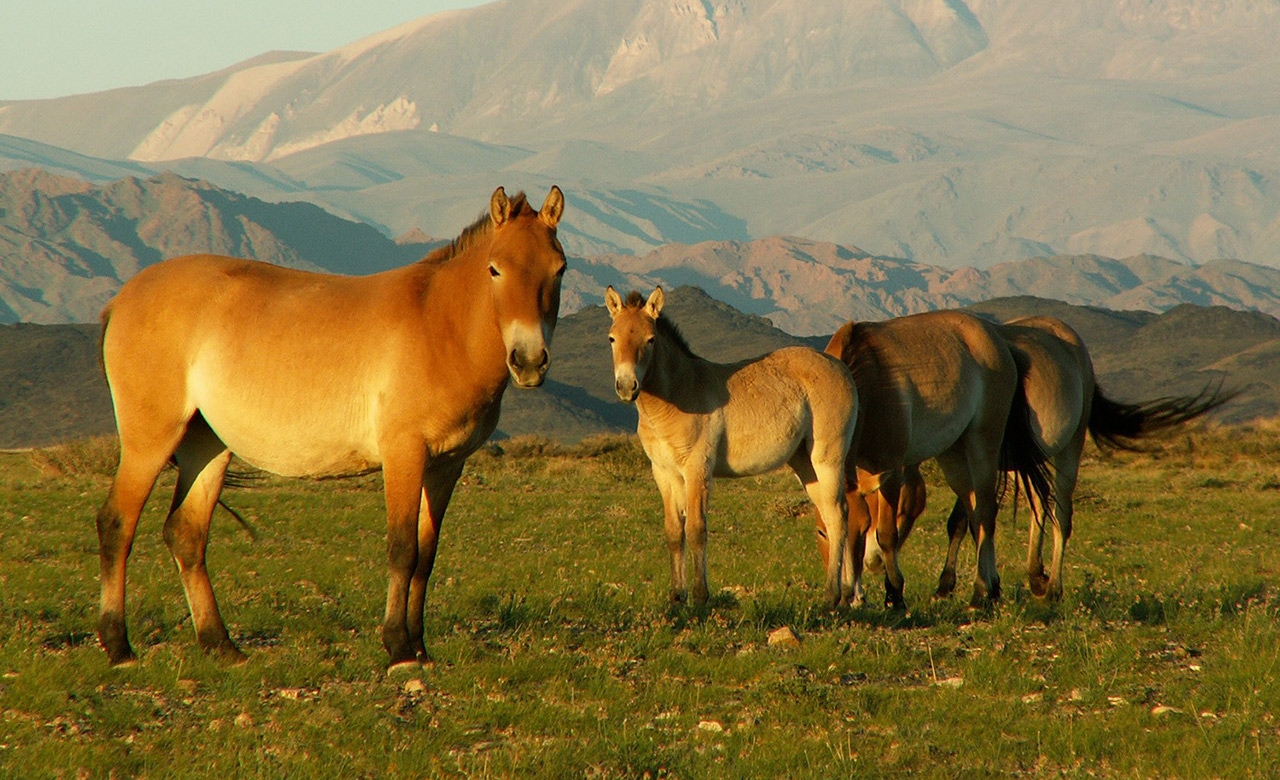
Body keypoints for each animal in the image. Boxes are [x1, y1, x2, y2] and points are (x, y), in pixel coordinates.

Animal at [94, 185, 565, 666]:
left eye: (559, 269)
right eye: (495, 268)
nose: (529, 361)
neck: (441, 325)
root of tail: (121, 300)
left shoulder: (446, 466)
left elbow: (426, 556)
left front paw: (420, 646)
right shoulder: (404, 455)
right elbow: (403, 549)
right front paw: (398, 647)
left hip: (207, 445)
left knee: (186, 534)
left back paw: (220, 644)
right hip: (150, 441)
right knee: (117, 524)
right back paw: (118, 644)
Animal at [601, 289, 860, 604]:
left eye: (650, 339)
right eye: (612, 338)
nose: (627, 386)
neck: (677, 395)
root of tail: (840, 367)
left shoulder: (697, 469)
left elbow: (696, 529)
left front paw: (700, 596)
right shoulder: (663, 472)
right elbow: (674, 532)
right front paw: (676, 597)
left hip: (828, 458)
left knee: (838, 513)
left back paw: (833, 596)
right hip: (805, 464)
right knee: (832, 516)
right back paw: (846, 594)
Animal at [819, 309, 1049, 609]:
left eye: (864, 526)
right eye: (822, 532)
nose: (850, 595)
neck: (866, 382)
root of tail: (997, 340)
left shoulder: (892, 469)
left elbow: (887, 535)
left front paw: (895, 594)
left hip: (983, 445)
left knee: (986, 513)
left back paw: (981, 591)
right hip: (953, 457)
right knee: (974, 515)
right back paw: (990, 587)